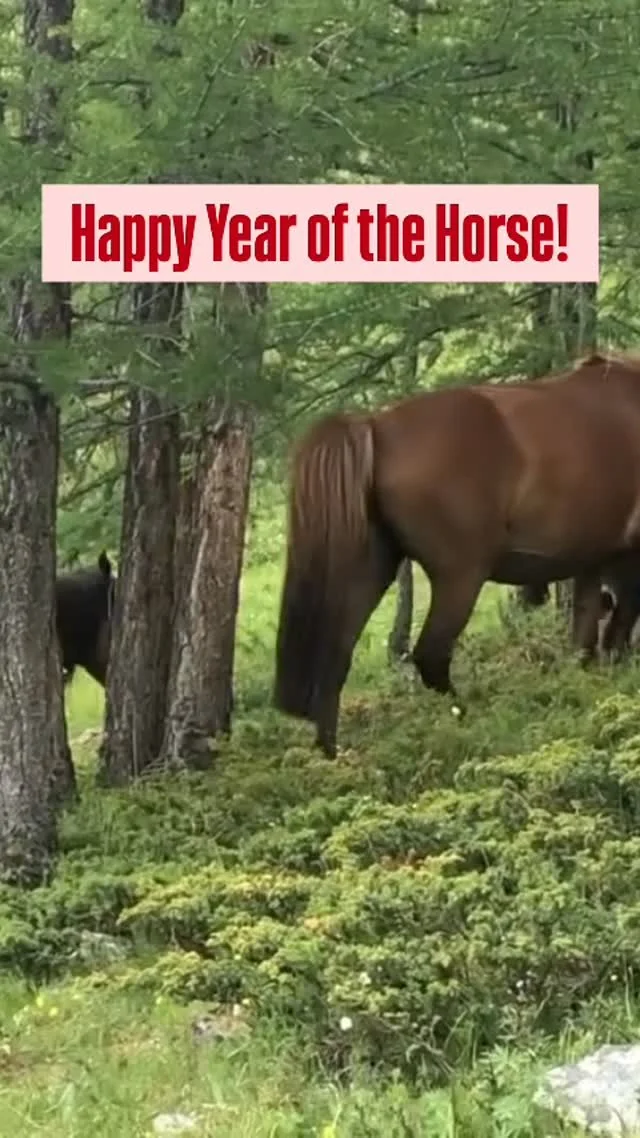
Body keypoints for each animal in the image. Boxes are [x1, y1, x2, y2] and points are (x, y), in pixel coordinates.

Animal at [274, 352, 640, 756]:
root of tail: (376, 425)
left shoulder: (593, 559)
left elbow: (587, 634)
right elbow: (617, 630)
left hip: (371, 569)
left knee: (336, 656)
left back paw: (331, 754)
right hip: (461, 576)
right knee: (431, 655)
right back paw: (469, 721)